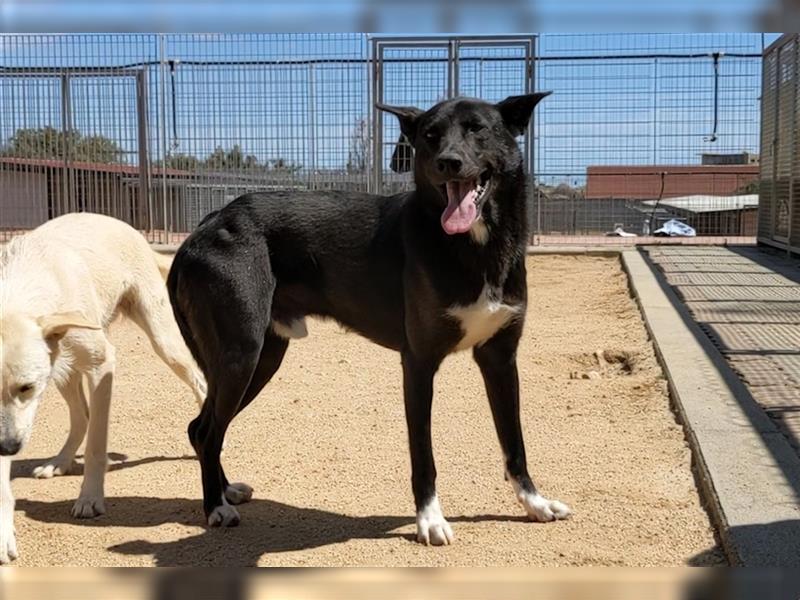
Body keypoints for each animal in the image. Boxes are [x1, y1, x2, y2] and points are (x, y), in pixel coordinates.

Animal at [0, 213, 206, 564]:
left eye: (27, 387)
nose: (8, 448)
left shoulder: (102, 365)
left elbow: (97, 446)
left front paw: (90, 497)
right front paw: (3, 537)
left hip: (163, 341)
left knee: (199, 381)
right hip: (64, 370)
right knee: (81, 416)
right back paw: (60, 461)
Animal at [167, 92, 568, 544]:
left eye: (477, 129)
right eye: (430, 136)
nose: (448, 162)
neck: (476, 246)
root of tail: (201, 229)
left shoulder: (500, 359)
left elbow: (514, 441)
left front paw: (534, 503)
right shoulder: (418, 363)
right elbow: (423, 454)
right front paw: (430, 520)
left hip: (260, 358)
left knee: (203, 426)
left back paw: (225, 490)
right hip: (241, 355)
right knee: (206, 430)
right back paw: (215, 507)